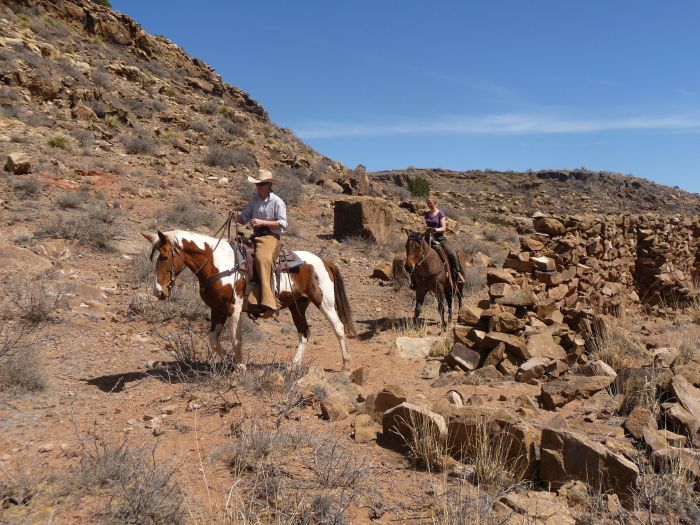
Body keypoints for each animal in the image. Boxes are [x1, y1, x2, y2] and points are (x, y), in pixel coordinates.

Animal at [145, 228, 358, 368]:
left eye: (164, 257)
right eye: (153, 258)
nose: (158, 291)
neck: (216, 264)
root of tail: (324, 261)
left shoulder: (234, 308)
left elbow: (236, 338)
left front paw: (240, 366)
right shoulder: (217, 309)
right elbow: (213, 339)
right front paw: (230, 362)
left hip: (325, 302)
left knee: (338, 328)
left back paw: (346, 367)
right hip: (297, 306)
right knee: (304, 332)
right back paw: (294, 365)